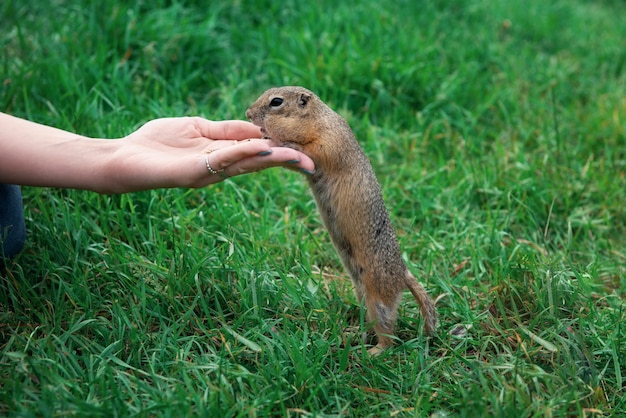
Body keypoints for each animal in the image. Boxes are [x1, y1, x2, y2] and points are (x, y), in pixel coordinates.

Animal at [246, 87, 436, 352]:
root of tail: (403, 273)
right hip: (362, 291)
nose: (248, 114)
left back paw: (375, 351)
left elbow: (312, 150)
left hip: (377, 294)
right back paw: (355, 334)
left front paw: (284, 142)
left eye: (276, 102)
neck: (317, 119)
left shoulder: (328, 141)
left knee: (388, 331)